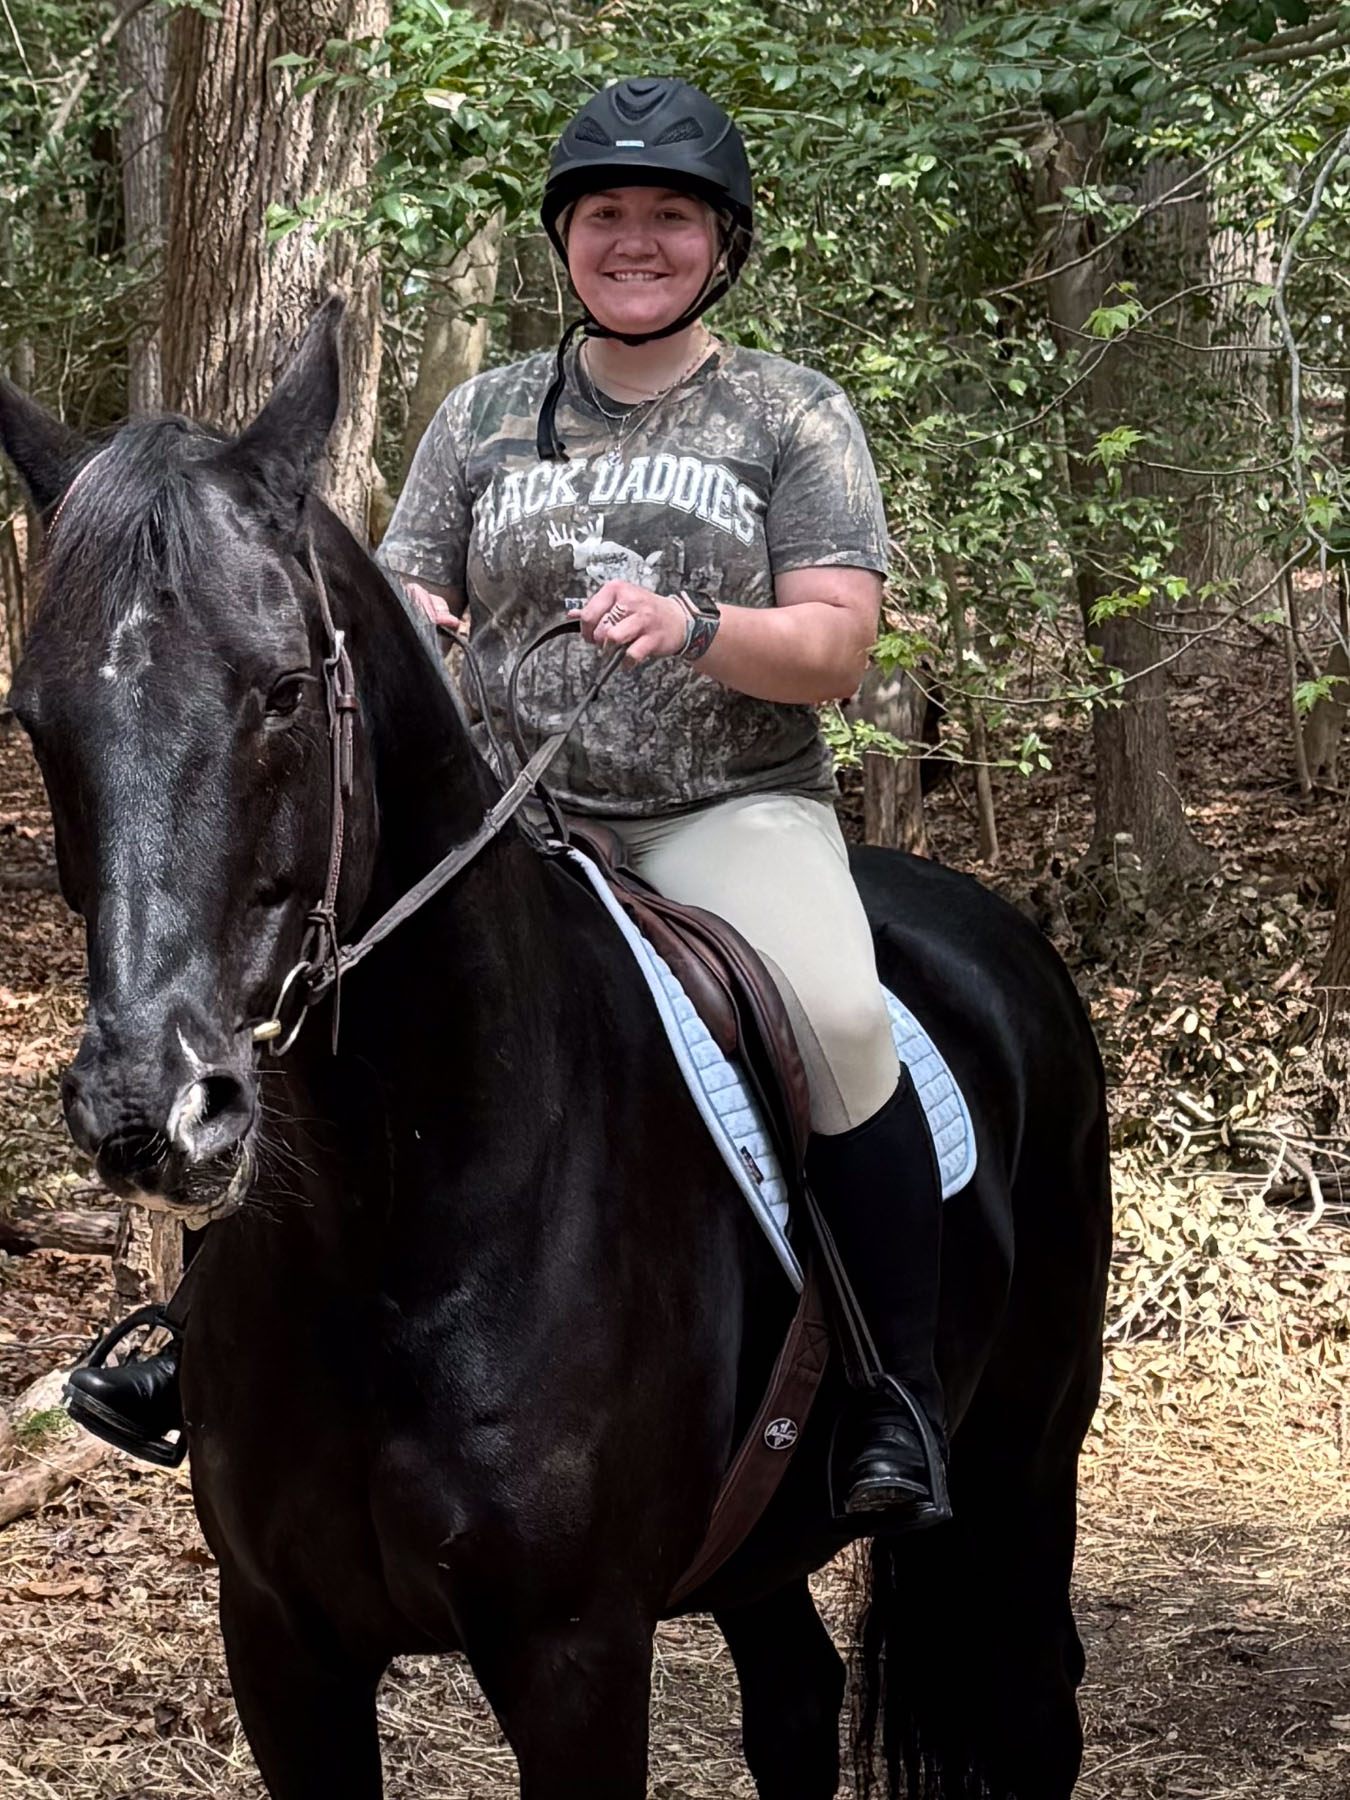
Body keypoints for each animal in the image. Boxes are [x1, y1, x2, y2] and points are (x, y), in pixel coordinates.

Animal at [0, 302, 1111, 1800]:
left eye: (284, 690)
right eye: (35, 717)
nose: (152, 1110)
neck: (402, 1211)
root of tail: (1003, 937)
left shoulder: (573, 1655)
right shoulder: (282, 1642)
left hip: (1020, 1468)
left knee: (1030, 1706)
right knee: (797, 1701)